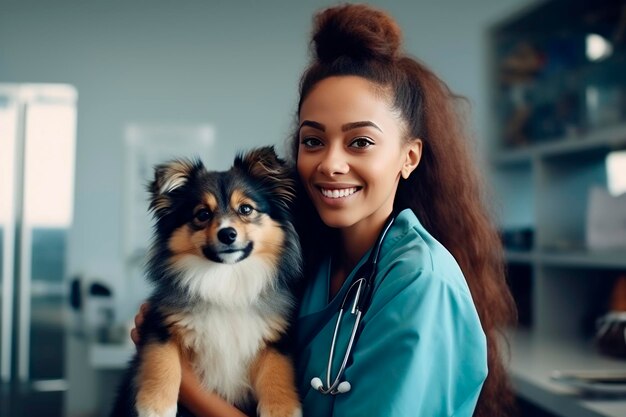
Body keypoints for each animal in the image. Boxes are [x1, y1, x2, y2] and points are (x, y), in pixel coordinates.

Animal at [111, 146, 302, 416]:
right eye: (202, 214)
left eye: (246, 209)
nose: (227, 234)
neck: (226, 277)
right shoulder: (159, 323)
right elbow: (162, 360)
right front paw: (156, 406)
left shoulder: (276, 338)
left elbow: (278, 372)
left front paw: (282, 410)